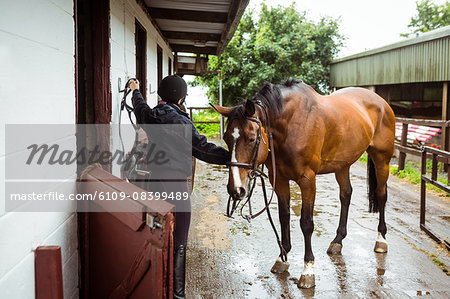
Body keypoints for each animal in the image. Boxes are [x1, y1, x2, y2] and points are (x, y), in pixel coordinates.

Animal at [211, 79, 394, 288]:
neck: (291, 125)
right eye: (226, 138)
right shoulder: (279, 179)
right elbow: (283, 217)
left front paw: (308, 270)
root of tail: (381, 102)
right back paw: (337, 241)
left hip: (382, 159)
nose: (236, 190)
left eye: (251, 138)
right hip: (342, 164)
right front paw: (282, 259)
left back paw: (381, 241)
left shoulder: (308, 180)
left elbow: (306, 223)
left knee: (381, 194)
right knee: (346, 195)